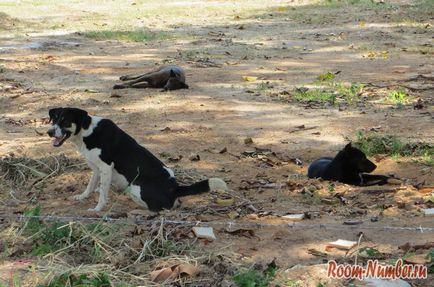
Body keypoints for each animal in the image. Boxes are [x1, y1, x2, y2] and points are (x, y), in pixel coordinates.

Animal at [46, 107, 227, 212]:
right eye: (54, 120)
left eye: (65, 121)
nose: (49, 132)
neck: (86, 130)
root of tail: (175, 188)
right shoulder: (97, 169)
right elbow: (90, 186)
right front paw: (82, 197)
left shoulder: (106, 168)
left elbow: (103, 193)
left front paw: (97, 209)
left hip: (135, 188)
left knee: (157, 209)